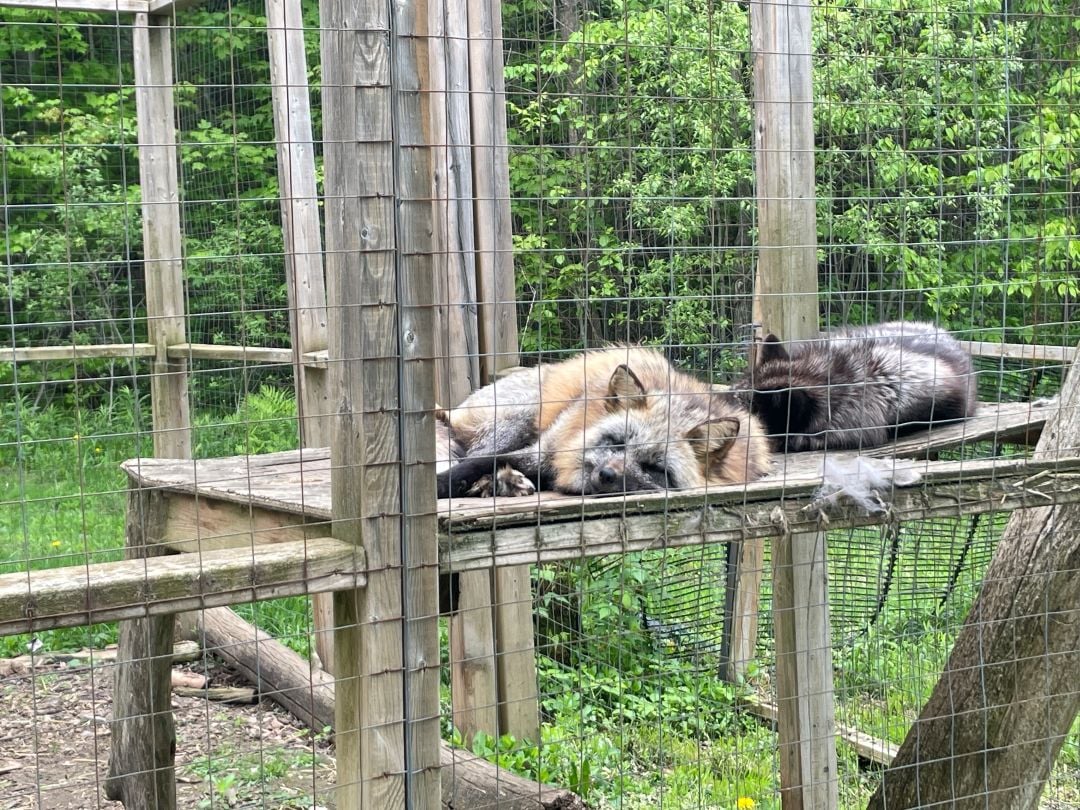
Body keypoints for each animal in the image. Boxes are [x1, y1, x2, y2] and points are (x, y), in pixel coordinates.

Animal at [435, 347, 773, 498]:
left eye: (655, 468)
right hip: (519, 419)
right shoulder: (546, 450)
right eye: (616, 442)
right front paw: (442, 485)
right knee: (476, 453)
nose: (607, 474)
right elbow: (474, 464)